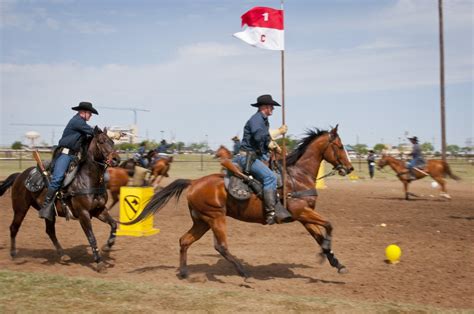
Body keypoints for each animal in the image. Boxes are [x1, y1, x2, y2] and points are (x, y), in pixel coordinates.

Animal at [0, 126, 120, 272]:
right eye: (101, 141)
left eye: (112, 142)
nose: (116, 159)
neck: (88, 180)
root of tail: (19, 176)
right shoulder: (83, 214)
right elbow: (91, 237)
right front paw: (99, 262)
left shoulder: (99, 210)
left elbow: (114, 224)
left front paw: (108, 245)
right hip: (20, 208)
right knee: (14, 228)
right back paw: (14, 254)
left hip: (49, 213)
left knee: (50, 231)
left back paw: (63, 254)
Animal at [124, 125, 354, 278]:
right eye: (340, 146)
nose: (350, 168)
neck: (297, 177)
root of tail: (194, 182)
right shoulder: (302, 213)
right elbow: (329, 226)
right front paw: (326, 256)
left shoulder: (305, 216)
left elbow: (320, 236)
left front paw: (336, 262)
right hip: (215, 218)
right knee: (221, 246)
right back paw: (242, 271)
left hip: (202, 221)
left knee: (184, 240)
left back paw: (183, 272)